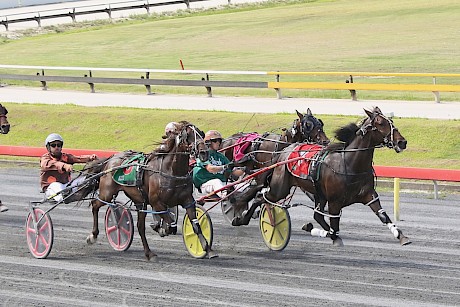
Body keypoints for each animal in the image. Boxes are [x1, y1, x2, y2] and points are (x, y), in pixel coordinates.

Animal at [85, 122, 216, 260]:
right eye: (188, 135)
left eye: (201, 134)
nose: (204, 153)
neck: (171, 170)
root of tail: (110, 160)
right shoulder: (156, 203)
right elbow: (170, 224)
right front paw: (162, 228)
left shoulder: (188, 200)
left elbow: (196, 225)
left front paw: (208, 249)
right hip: (107, 194)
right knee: (95, 205)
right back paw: (93, 236)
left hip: (140, 202)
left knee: (140, 227)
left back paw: (149, 253)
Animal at [235, 107, 412, 247]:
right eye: (380, 123)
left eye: (390, 121)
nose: (402, 142)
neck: (349, 164)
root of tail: (283, 152)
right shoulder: (334, 202)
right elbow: (334, 230)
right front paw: (314, 229)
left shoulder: (369, 195)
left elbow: (383, 215)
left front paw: (402, 236)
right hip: (280, 188)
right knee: (261, 197)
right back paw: (241, 219)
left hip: (318, 193)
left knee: (316, 214)